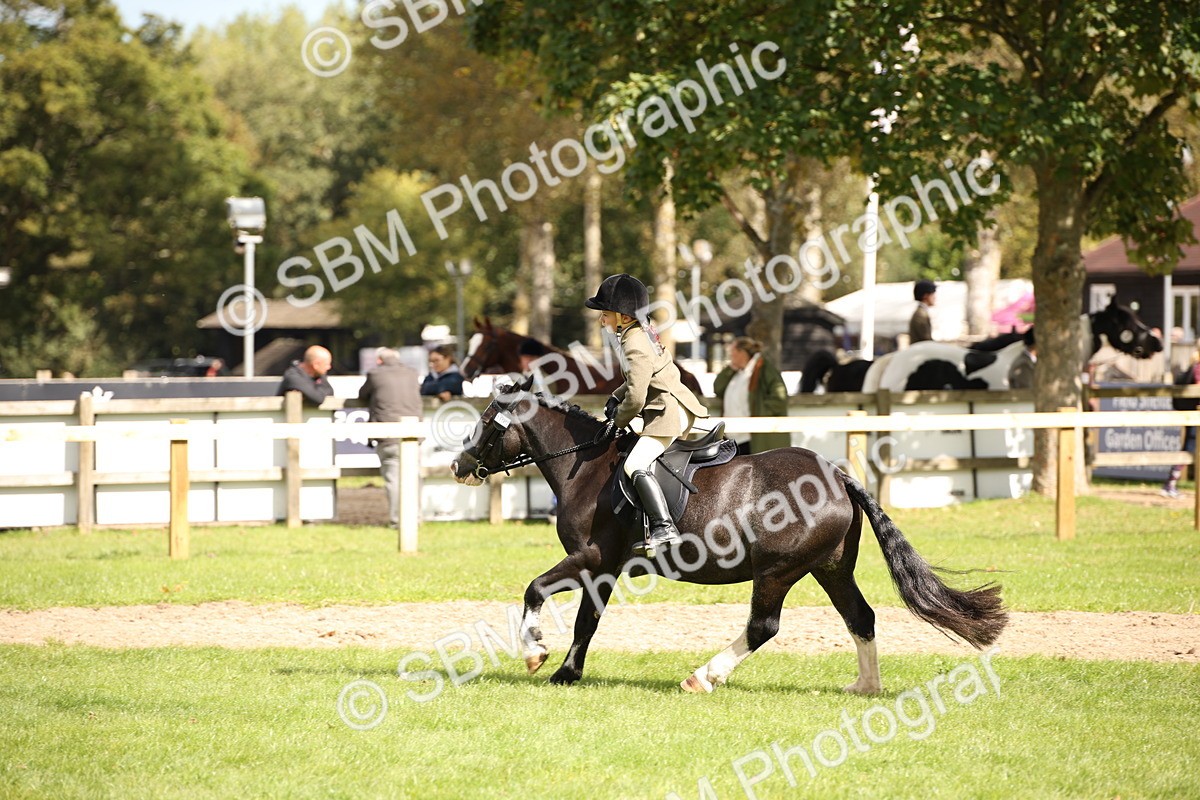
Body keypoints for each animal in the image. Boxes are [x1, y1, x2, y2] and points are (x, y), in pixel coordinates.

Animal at [450, 380, 1008, 693]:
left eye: (487, 423)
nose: (458, 465)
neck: (585, 466)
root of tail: (837, 475)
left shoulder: (590, 556)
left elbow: (535, 590)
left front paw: (535, 654)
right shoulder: (604, 569)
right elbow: (588, 620)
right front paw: (567, 673)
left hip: (777, 571)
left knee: (763, 626)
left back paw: (703, 677)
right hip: (829, 568)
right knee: (860, 618)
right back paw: (865, 687)